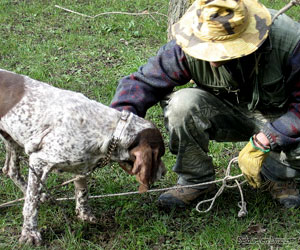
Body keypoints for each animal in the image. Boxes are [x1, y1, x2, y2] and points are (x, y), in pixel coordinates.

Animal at [0, 69, 166, 245]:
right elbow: (31, 203)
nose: (165, 172)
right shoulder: (40, 161)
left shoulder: (81, 166)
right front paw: (30, 233)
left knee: (11, 170)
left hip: (11, 139)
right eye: (159, 156)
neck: (108, 129)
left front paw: (84, 213)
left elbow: (82, 191)